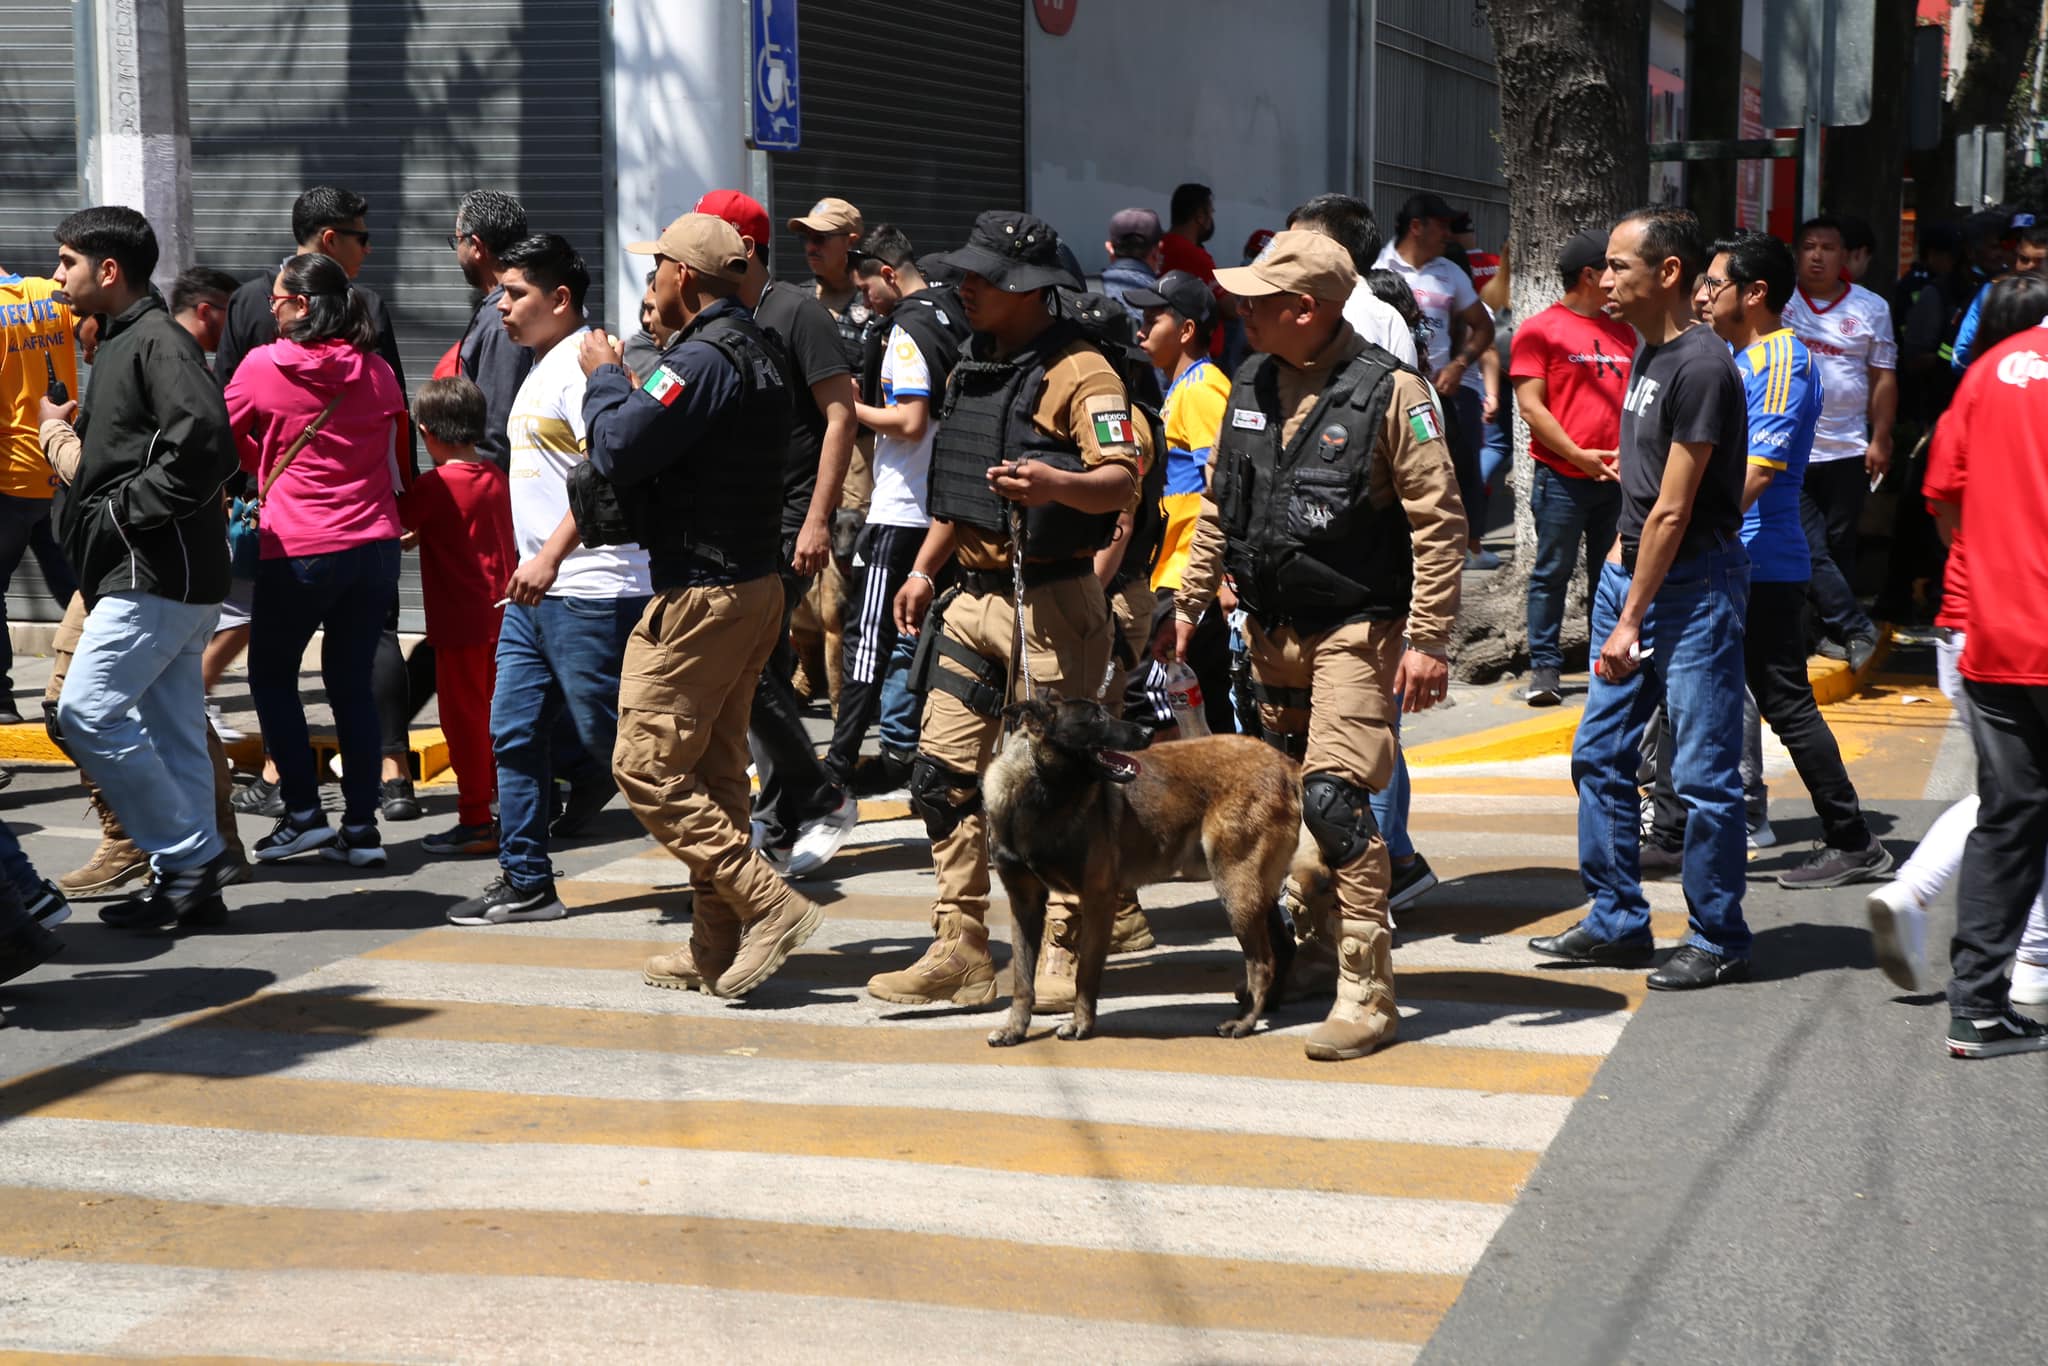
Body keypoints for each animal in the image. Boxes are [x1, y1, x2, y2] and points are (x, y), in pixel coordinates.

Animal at [978, 700, 1310, 1040]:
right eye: (1096, 717)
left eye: (1104, 711)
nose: (1149, 730)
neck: (1040, 791)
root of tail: (1286, 763)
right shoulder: (1025, 904)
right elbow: (1022, 977)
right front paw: (1014, 1029)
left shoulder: (1098, 899)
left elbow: (1085, 972)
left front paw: (1080, 1023)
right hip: (1254, 890)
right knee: (1283, 948)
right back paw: (1267, 1005)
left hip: (1235, 886)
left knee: (1262, 961)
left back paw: (1244, 1021)